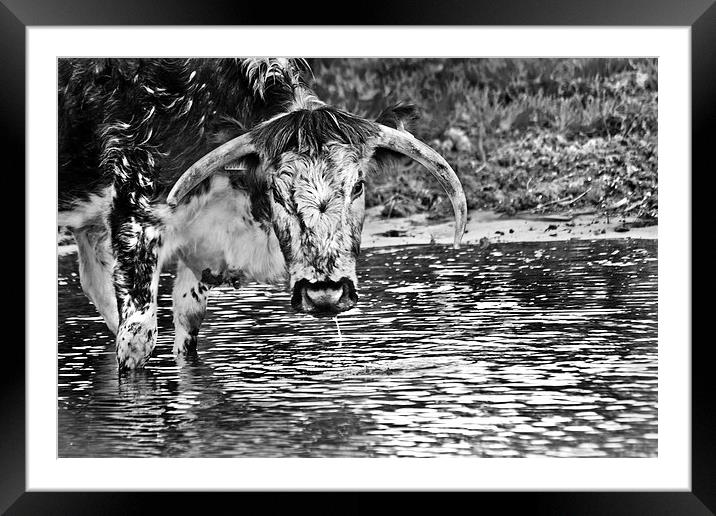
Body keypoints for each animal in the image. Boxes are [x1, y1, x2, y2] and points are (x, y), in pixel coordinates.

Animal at [58, 57, 468, 370]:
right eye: (277, 191)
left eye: (358, 186)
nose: (325, 295)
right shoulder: (135, 220)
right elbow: (137, 338)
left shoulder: (199, 244)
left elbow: (188, 327)